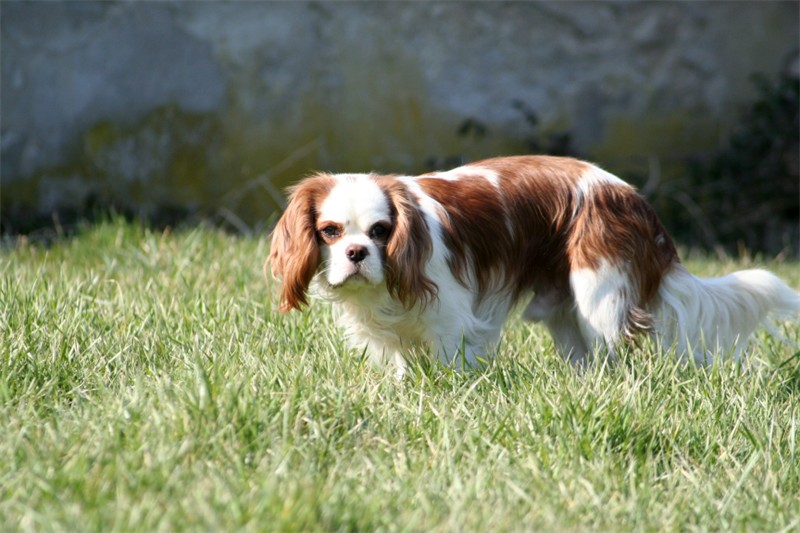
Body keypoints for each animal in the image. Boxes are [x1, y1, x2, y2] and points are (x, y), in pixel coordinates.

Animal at [268, 156, 800, 376]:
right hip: (567, 313)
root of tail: (636, 201)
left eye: (380, 231)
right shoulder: (391, 337)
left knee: (616, 352)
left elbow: (451, 366)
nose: (356, 253)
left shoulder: (453, 323)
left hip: (599, 298)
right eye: (331, 232)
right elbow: (402, 368)